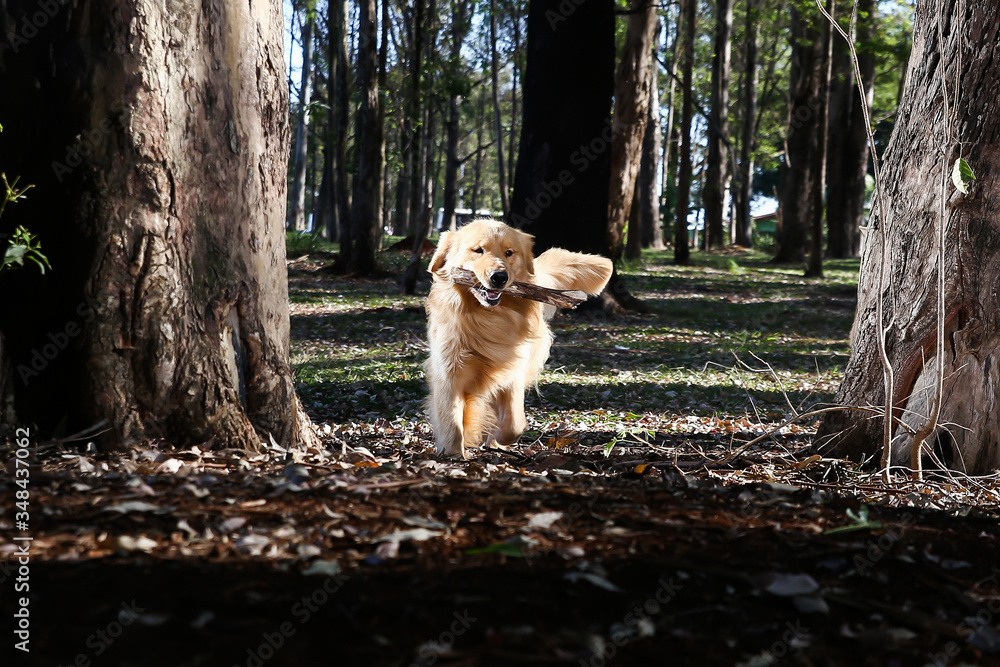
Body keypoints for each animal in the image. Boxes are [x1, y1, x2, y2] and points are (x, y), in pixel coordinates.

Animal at [426, 219, 612, 460]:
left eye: (509, 252)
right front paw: (453, 453)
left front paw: (497, 439)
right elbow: (451, 420)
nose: (499, 277)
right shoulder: (449, 372)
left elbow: (514, 424)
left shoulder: (513, 369)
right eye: (478, 250)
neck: (485, 319)